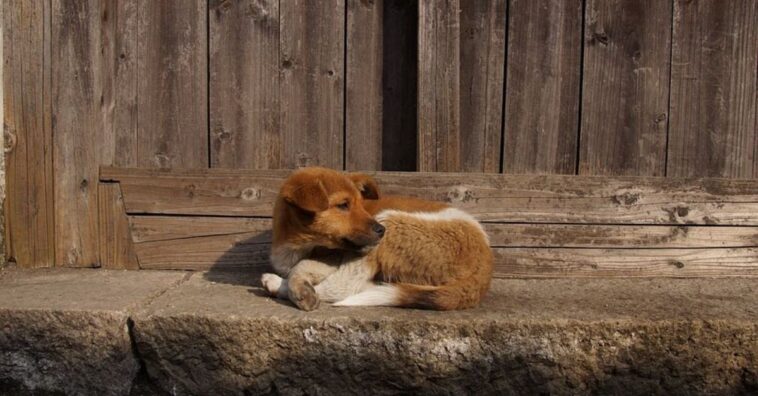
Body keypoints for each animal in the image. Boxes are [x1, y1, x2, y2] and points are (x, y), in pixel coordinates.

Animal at [262, 166, 496, 310]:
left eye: (361, 204)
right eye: (343, 205)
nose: (380, 230)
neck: (296, 243)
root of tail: (485, 268)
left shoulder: (331, 258)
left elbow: (300, 267)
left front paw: (296, 287)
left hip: (390, 223)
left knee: (343, 287)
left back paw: (275, 283)